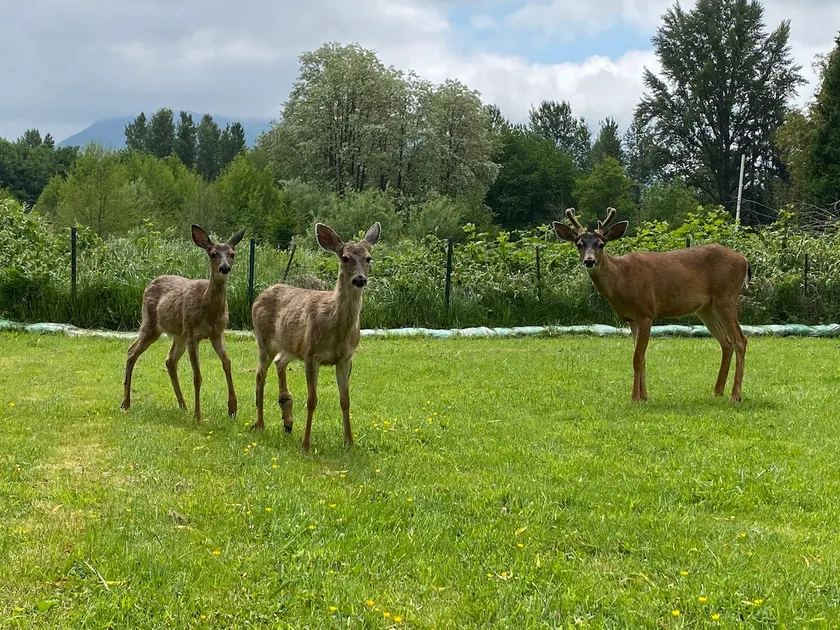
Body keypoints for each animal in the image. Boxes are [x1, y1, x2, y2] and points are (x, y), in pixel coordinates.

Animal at [120, 224, 246, 422]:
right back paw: (126, 403)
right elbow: (197, 376)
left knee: (170, 360)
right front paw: (198, 416)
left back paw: (183, 405)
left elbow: (227, 363)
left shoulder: (217, 333)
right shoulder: (193, 334)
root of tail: (149, 284)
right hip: (151, 324)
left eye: (232, 254)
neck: (209, 311)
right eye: (213, 254)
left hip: (179, 334)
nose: (224, 268)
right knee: (132, 351)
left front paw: (232, 408)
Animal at [251, 222, 381, 453]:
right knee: (259, 376)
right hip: (264, 340)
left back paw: (287, 419)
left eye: (368, 258)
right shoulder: (312, 355)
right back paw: (260, 424)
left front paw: (349, 442)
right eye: (344, 257)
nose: (359, 279)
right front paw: (305, 444)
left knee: (280, 362)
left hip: (292, 346)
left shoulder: (346, 358)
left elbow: (345, 400)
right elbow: (312, 400)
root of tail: (260, 294)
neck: (337, 328)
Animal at [553, 207, 750, 403]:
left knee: (740, 340)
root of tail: (744, 260)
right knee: (726, 343)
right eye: (579, 244)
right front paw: (644, 396)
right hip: (706, 309)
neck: (621, 279)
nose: (589, 261)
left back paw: (736, 395)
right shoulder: (631, 318)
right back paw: (717, 392)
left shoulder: (646, 312)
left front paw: (635, 398)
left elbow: (637, 357)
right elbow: (642, 357)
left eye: (601, 244)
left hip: (725, 298)